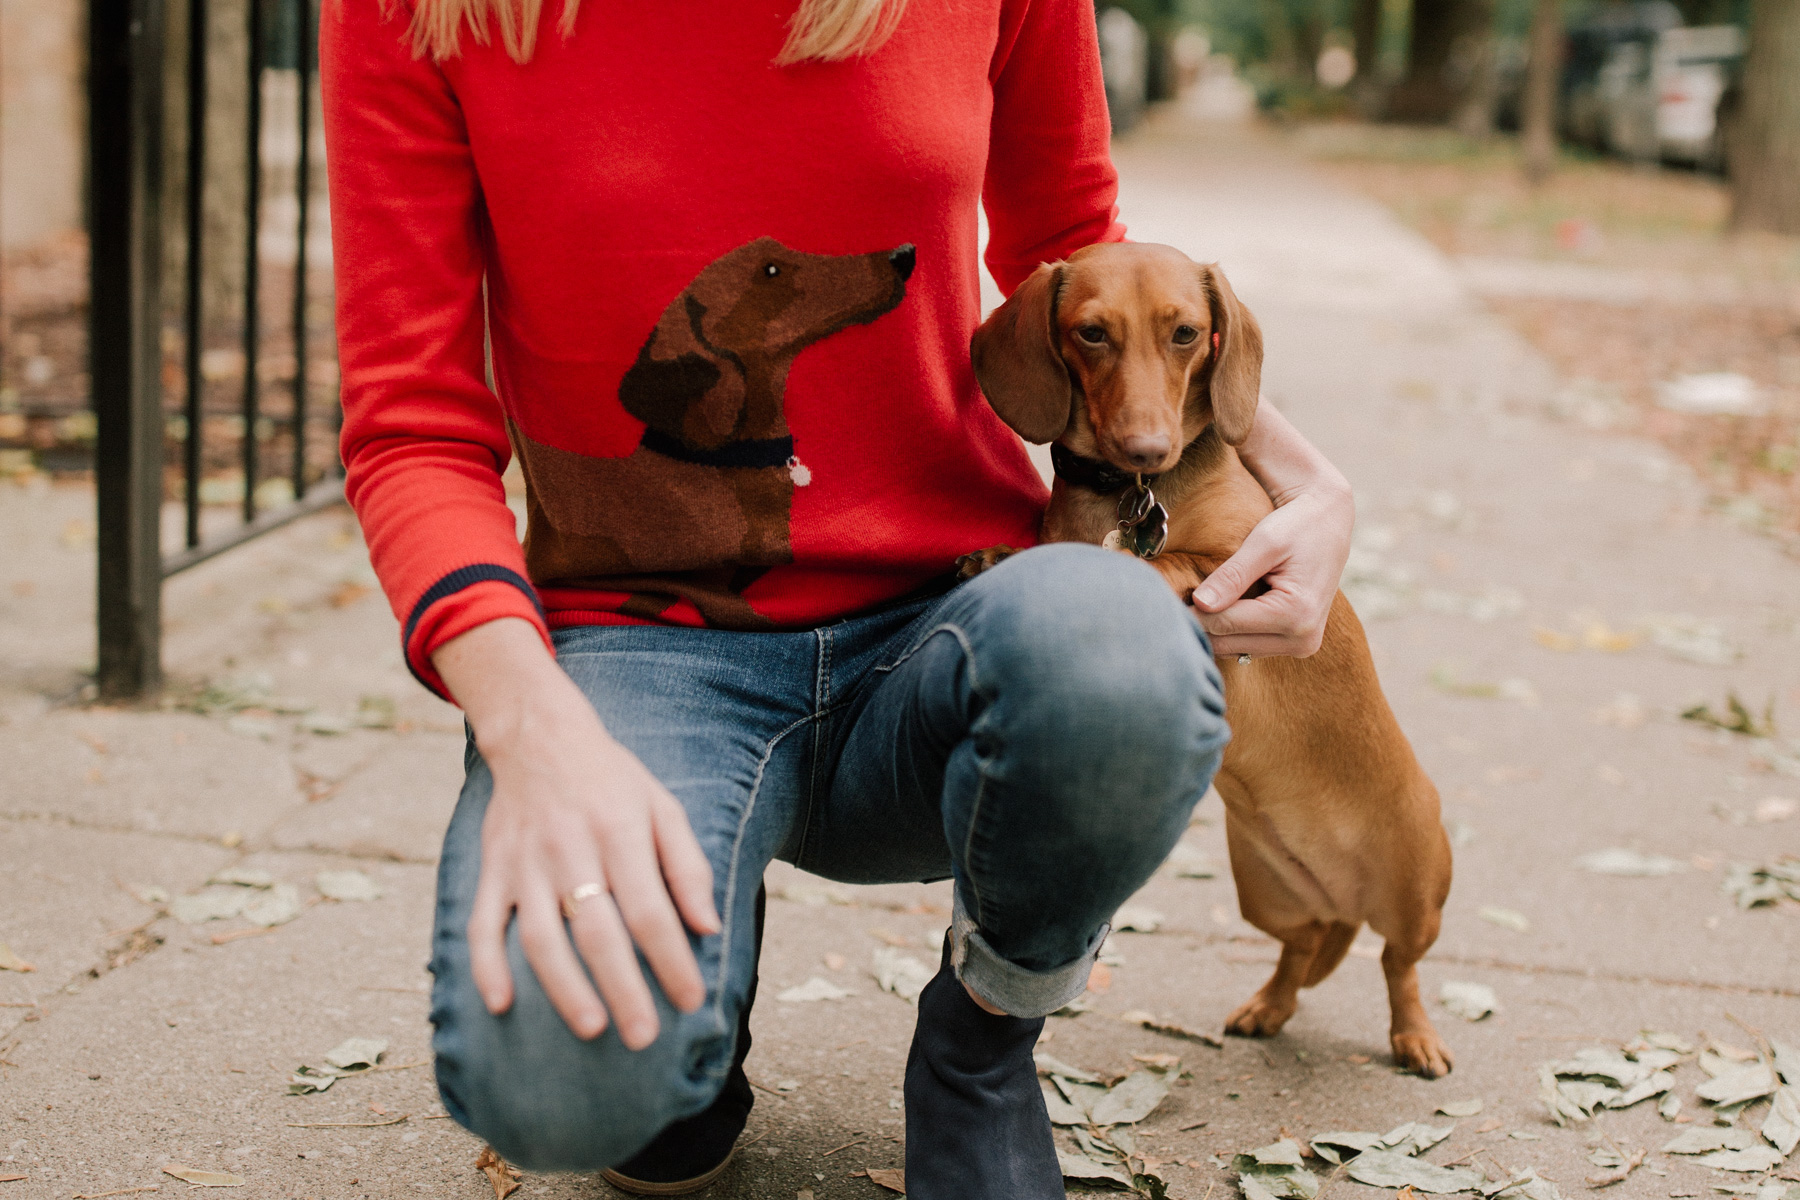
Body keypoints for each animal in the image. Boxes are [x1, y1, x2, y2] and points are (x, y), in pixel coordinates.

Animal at [964, 239, 1454, 1072]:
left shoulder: (1244, 572)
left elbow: (1169, 562)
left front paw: (1126, 561)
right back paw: (1271, 1005)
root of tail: (1346, 898)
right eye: (1091, 333)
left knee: (1400, 965)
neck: (1131, 493)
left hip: (1416, 892)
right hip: (1266, 897)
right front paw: (1000, 556)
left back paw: (1415, 1035)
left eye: (1186, 333)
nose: (1148, 448)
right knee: (1304, 946)